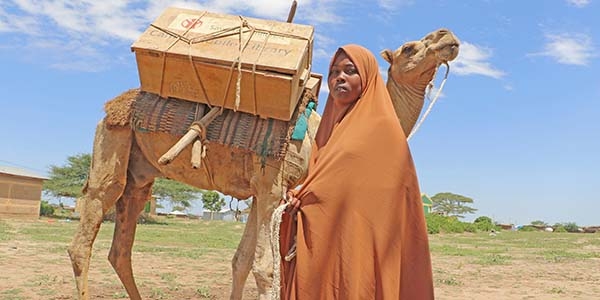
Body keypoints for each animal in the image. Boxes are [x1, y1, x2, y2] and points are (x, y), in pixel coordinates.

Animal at [67, 28, 460, 300]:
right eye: (410, 48)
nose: (447, 38)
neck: (323, 136)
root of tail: (111, 107)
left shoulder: (261, 193)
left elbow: (241, 261)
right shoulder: (273, 187)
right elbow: (265, 270)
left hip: (141, 176)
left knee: (121, 248)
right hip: (112, 149)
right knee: (84, 235)